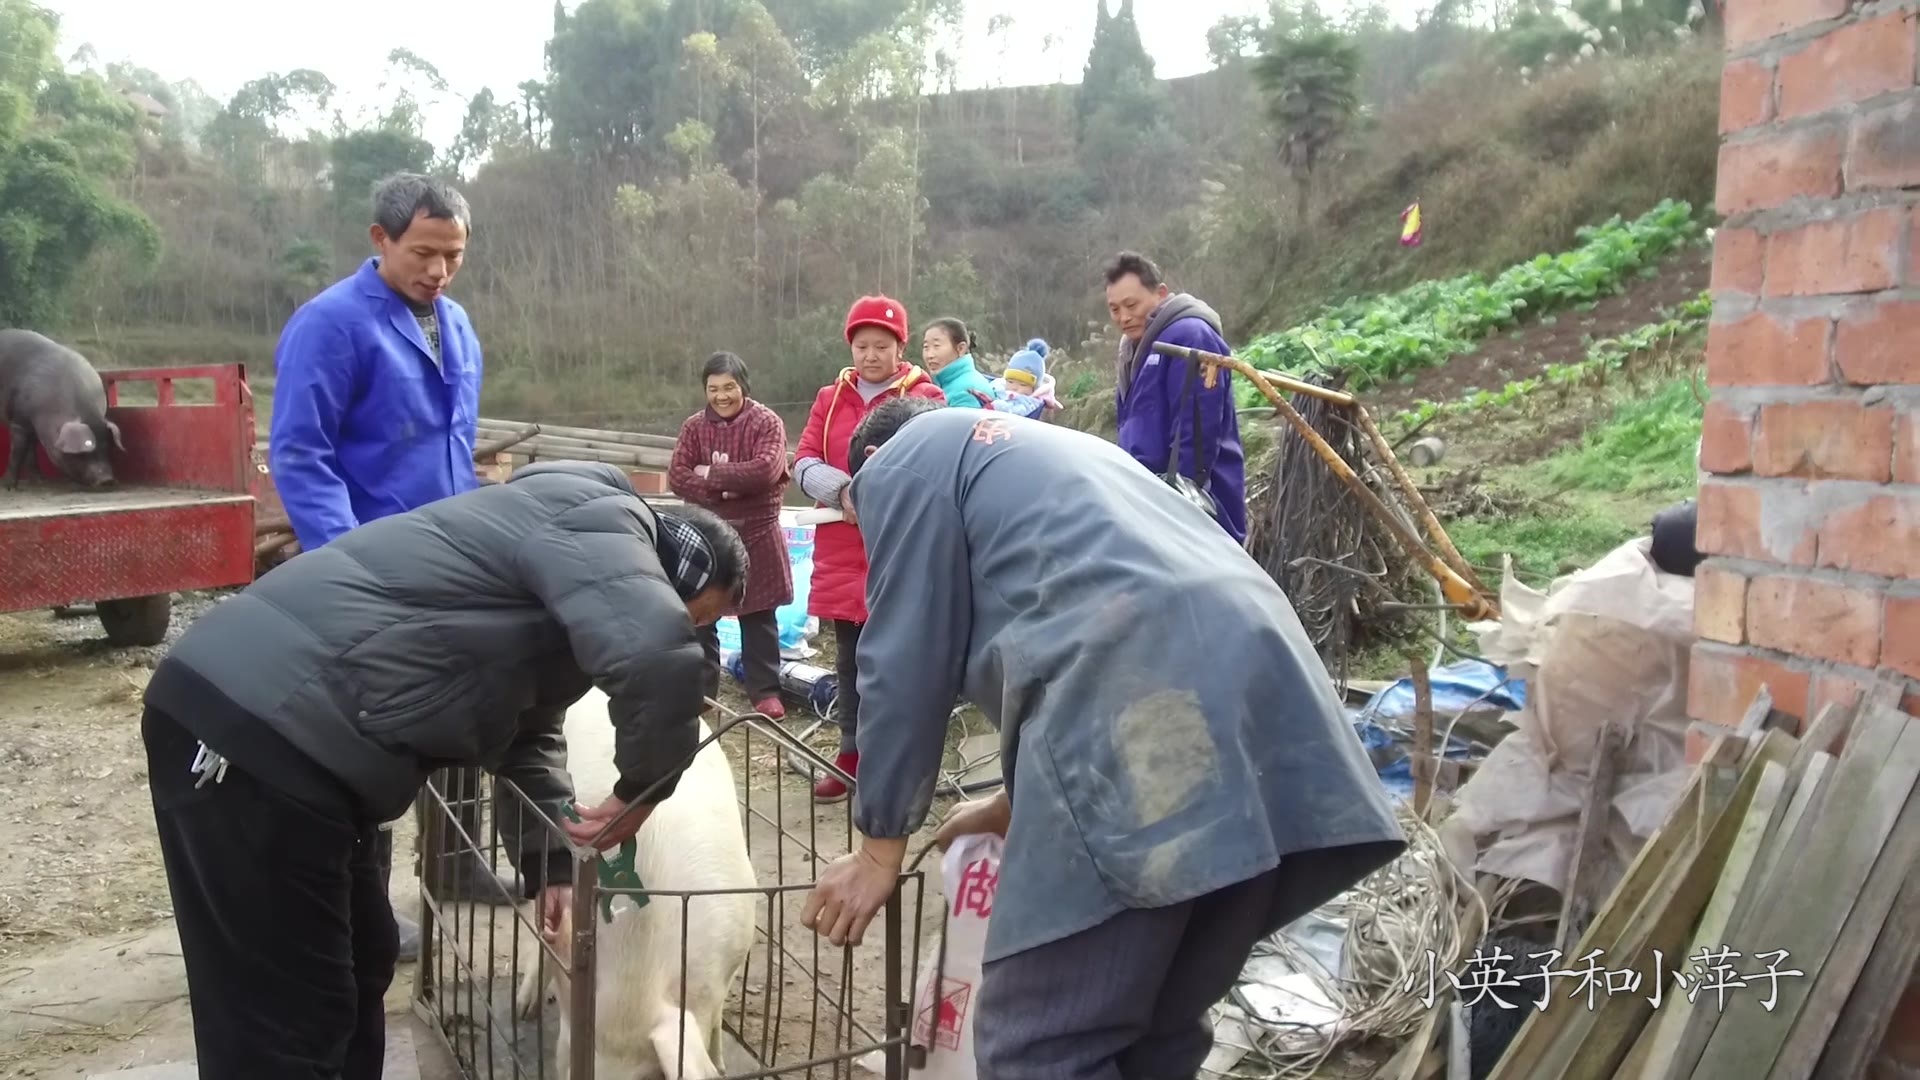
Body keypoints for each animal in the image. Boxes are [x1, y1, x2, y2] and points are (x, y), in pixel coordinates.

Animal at [0, 330, 121, 490]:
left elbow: (31, 451)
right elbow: (18, 451)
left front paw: (40, 481)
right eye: (82, 454)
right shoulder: (19, 419)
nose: (106, 480)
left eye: (107, 447)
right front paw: (8, 487)